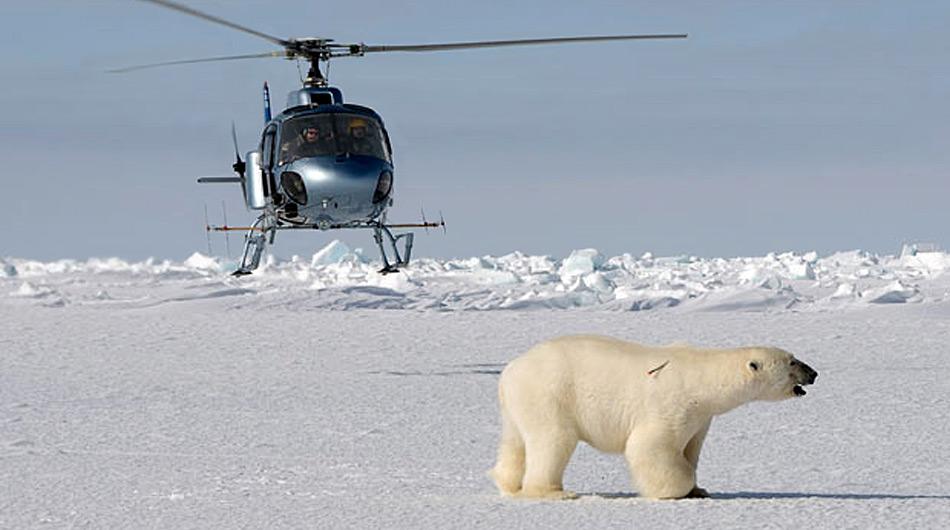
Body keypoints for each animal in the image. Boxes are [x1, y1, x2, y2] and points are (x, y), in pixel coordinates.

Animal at [490, 334, 820, 500]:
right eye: (792, 362)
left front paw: (699, 489)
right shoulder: (672, 403)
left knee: (515, 441)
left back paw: (508, 484)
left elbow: (691, 449)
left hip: (518, 403)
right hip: (550, 394)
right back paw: (554, 493)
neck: (702, 377)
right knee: (554, 439)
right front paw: (676, 490)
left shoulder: (701, 417)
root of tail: (510, 370)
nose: (814, 373)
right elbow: (650, 447)